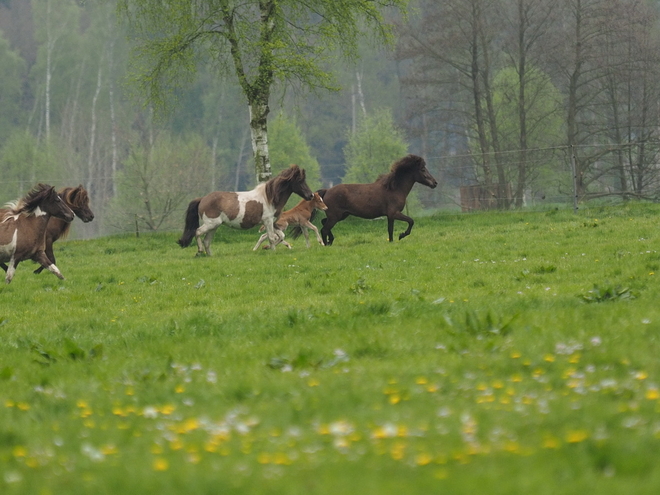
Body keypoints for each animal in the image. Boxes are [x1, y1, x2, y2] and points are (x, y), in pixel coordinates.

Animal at [178, 166, 314, 254]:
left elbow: (280, 236)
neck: (269, 197)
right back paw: (199, 251)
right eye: (300, 181)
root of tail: (202, 199)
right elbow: (272, 237)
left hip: (214, 226)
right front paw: (272, 251)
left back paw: (209, 255)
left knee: (207, 241)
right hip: (211, 224)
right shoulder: (268, 221)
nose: (311, 195)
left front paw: (267, 248)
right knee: (198, 232)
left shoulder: (273, 223)